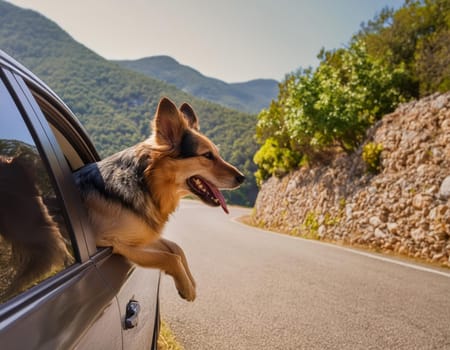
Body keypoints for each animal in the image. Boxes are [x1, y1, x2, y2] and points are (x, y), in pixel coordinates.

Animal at [75, 97, 248, 300]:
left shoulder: (144, 235)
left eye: (217, 154)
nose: (242, 178)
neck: (146, 183)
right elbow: (168, 257)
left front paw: (190, 282)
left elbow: (176, 248)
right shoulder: (111, 242)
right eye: (207, 155)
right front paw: (187, 287)